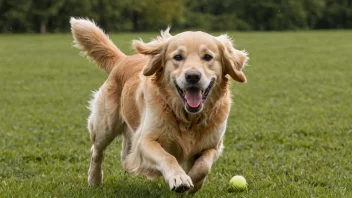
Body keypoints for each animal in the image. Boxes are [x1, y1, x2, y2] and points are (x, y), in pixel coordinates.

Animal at [70, 17, 249, 193]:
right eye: (178, 57)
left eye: (207, 57)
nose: (192, 76)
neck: (187, 118)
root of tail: (123, 59)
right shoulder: (145, 141)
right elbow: (167, 157)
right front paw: (179, 177)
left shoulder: (213, 146)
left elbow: (203, 166)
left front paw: (193, 182)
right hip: (105, 126)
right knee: (96, 151)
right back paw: (94, 180)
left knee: (125, 151)